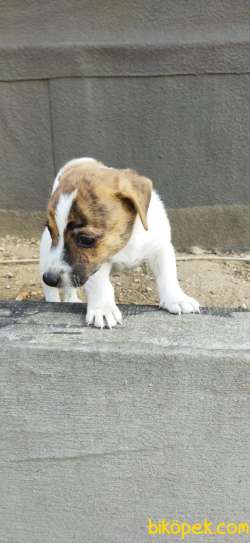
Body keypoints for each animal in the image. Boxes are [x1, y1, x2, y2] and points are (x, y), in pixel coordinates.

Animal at [39, 156, 199, 328]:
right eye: (51, 231)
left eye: (85, 239)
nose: (50, 278)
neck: (126, 243)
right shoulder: (95, 263)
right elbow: (100, 285)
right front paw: (103, 309)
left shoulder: (161, 248)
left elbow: (168, 275)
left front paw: (177, 298)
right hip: (45, 258)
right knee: (51, 291)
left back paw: (71, 299)